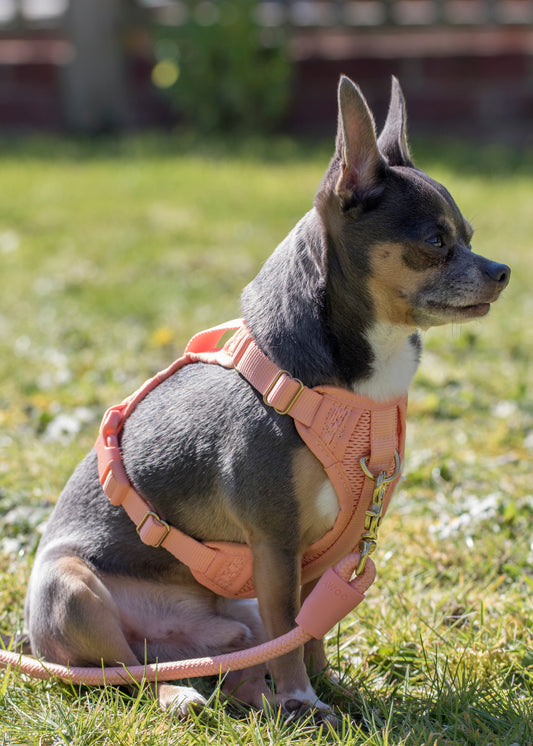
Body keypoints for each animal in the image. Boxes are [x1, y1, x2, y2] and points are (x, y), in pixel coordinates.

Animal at [22, 75, 510, 716]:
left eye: (470, 238)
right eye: (435, 240)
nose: (502, 271)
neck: (355, 388)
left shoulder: (330, 553)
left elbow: (313, 625)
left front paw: (328, 686)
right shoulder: (276, 544)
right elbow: (290, 629)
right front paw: (306, 696)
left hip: (234, 615)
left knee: (230, 667)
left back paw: (256, 693)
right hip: (75, 592)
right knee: (127, 674)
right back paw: (187, 695)